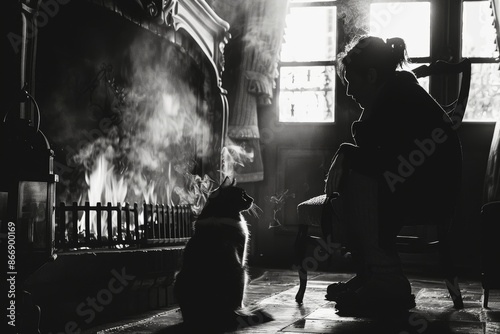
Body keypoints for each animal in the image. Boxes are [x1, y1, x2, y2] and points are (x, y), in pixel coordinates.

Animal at [174, 177, 272, 332]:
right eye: (242, 195)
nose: (252, 199)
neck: (218, 211)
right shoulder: (242, 251)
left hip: (178, 277)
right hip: (242, 272)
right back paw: (242, 311)